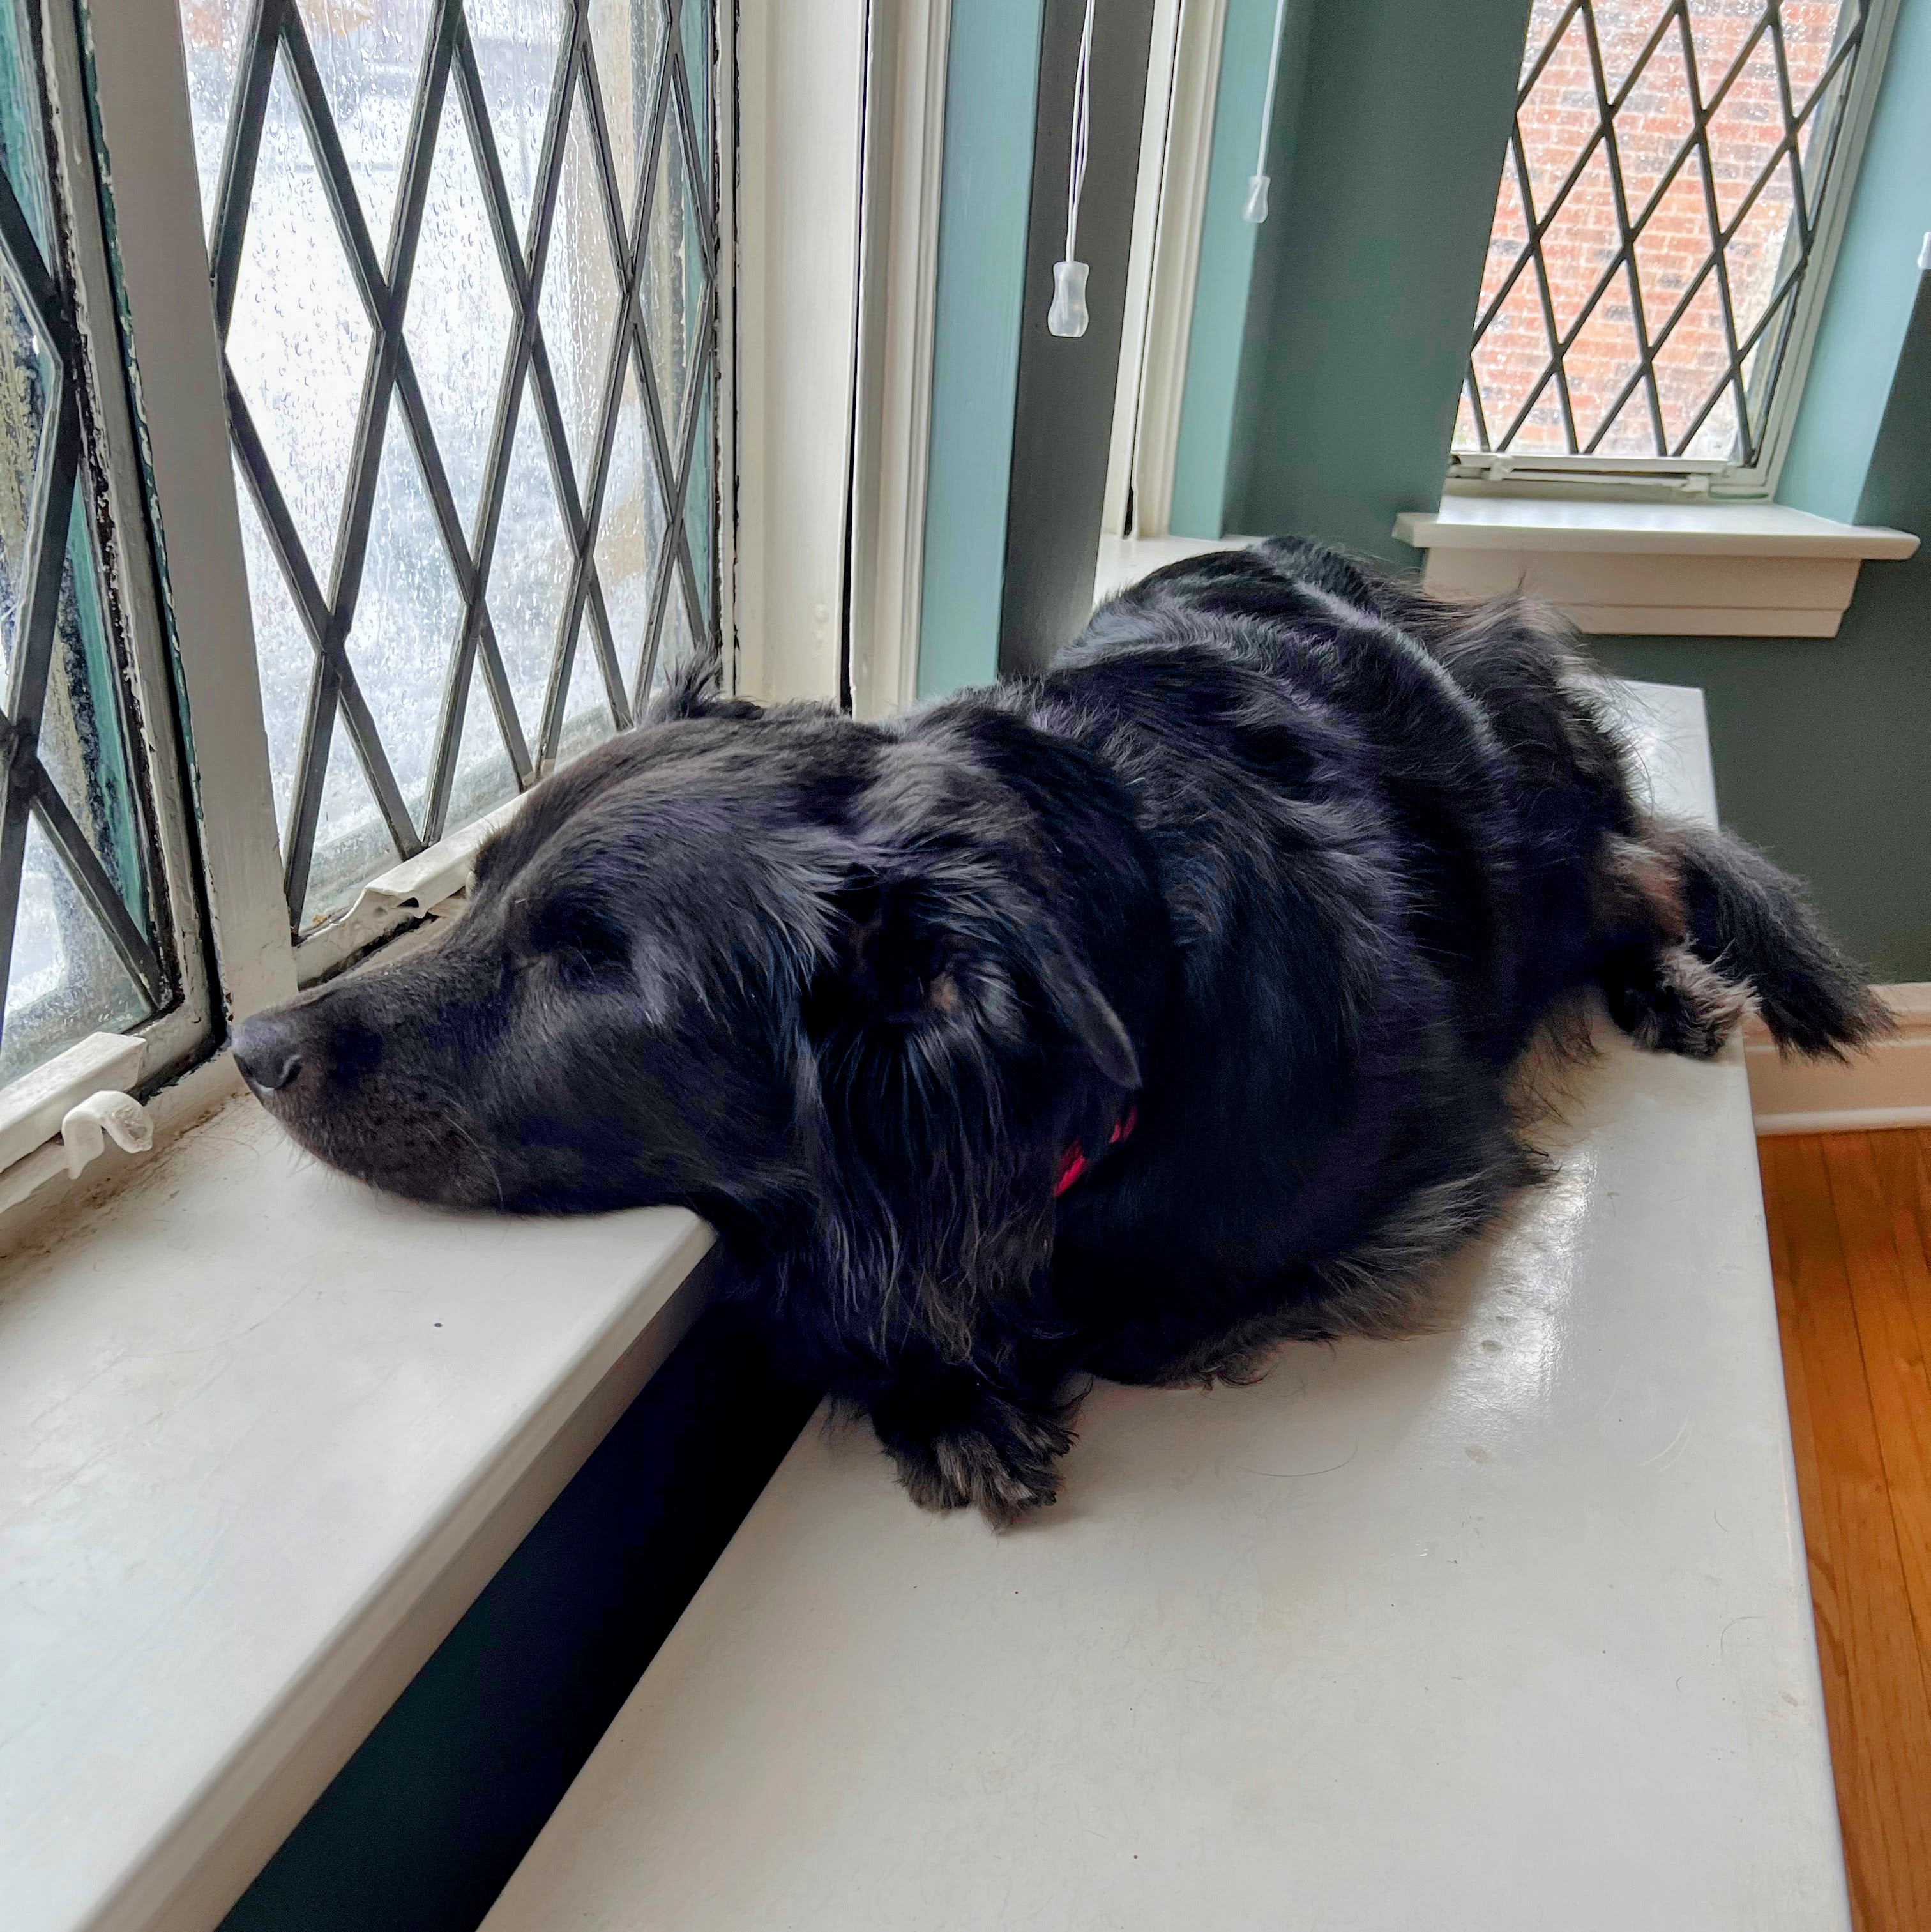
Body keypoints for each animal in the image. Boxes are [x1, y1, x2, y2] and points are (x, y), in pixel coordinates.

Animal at [237, 536, 1884, 1514]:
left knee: (1640, 868)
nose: (256, 1052)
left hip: (1534, 813)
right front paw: (932, 1374)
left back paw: (1673, 982)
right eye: (482, 891)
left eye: (585, 967)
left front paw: (970, 1351)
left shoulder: (1410, 1189)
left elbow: (1132, 1311)